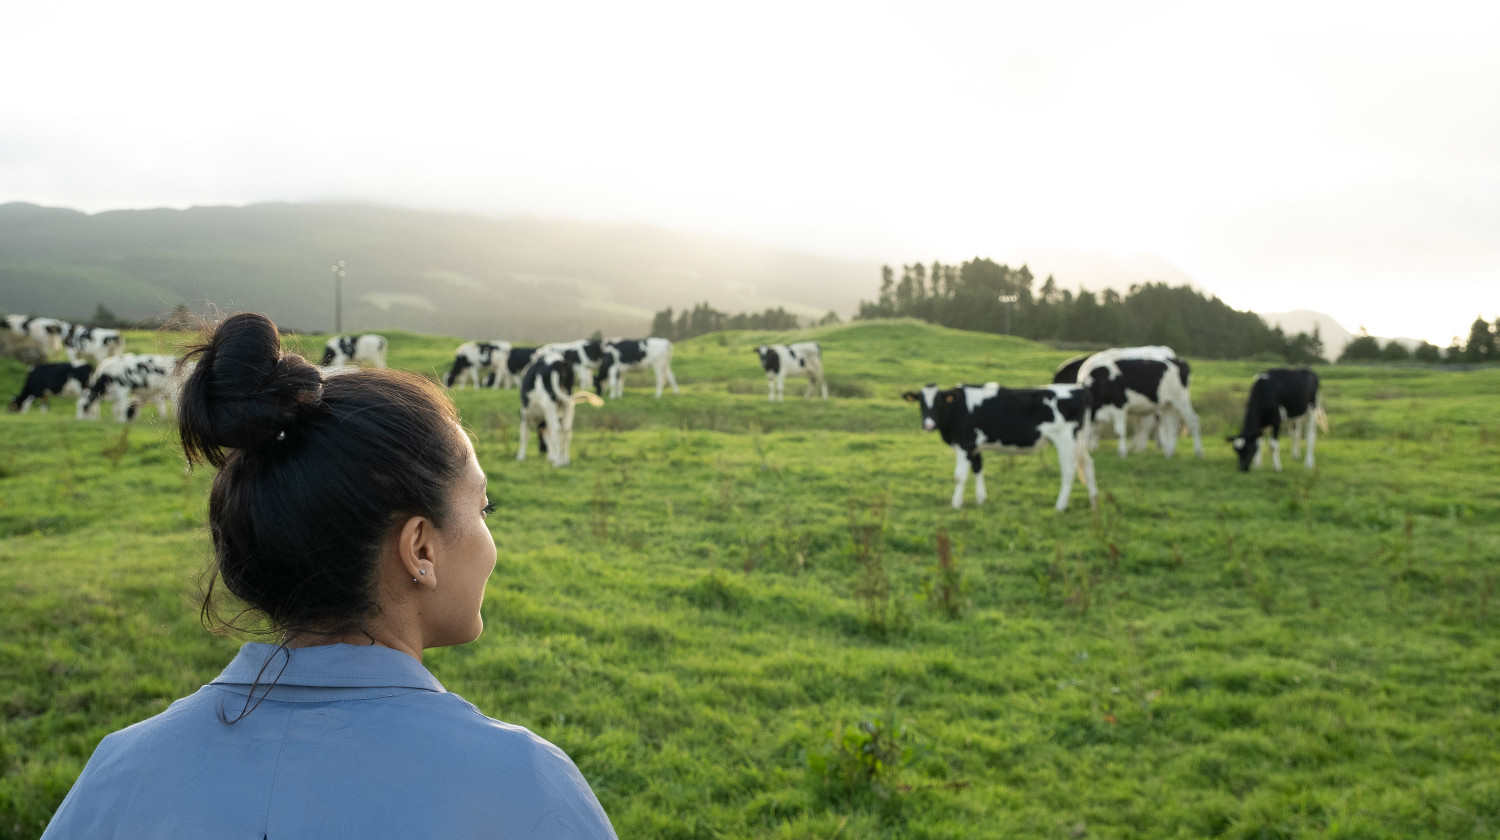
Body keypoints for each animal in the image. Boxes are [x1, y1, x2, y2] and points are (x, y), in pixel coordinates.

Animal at [900, 382, 1104, 513]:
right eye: (920, 402)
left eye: (939, 403)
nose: (928, 424)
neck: (959, 409)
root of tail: (1079, 388)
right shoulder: (975, 447)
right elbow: (978, 470)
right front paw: (981, 499)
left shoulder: (965, 444)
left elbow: (959, 476)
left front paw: (956, 503)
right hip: (1080, 440)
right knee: (1088, 464)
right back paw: (1094, 501)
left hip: (1065, 440)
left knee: (1069, 470)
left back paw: (1060, 506)